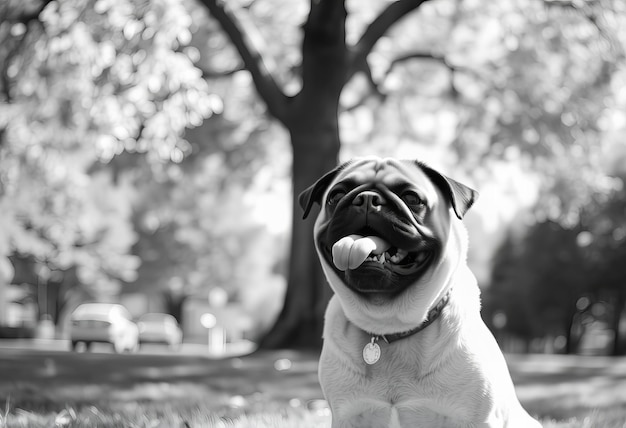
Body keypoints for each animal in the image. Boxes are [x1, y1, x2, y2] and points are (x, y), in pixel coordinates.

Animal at [300, 157, 540, 428]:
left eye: (411, 198)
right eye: (336, 195)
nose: (367, 198)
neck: (389, 326)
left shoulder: (480, 420)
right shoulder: (347, 416)